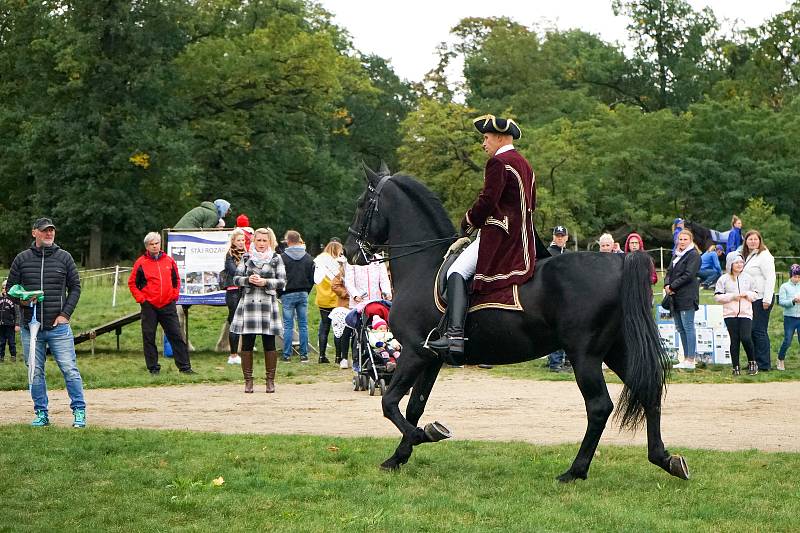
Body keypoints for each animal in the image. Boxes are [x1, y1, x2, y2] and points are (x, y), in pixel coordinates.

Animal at [346, 167, 692, 482]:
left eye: (362, 203)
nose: (350, 251)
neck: (424, 266)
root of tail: (619, 261)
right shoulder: (431, 358)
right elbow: (413, 407)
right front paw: (399, 456)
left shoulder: (414, 352)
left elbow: (390, 403)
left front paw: (422, 435)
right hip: (616, 349)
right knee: (647, 392)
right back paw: (666, 459)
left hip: (585, 355)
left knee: (598, 407)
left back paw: (575, 471)